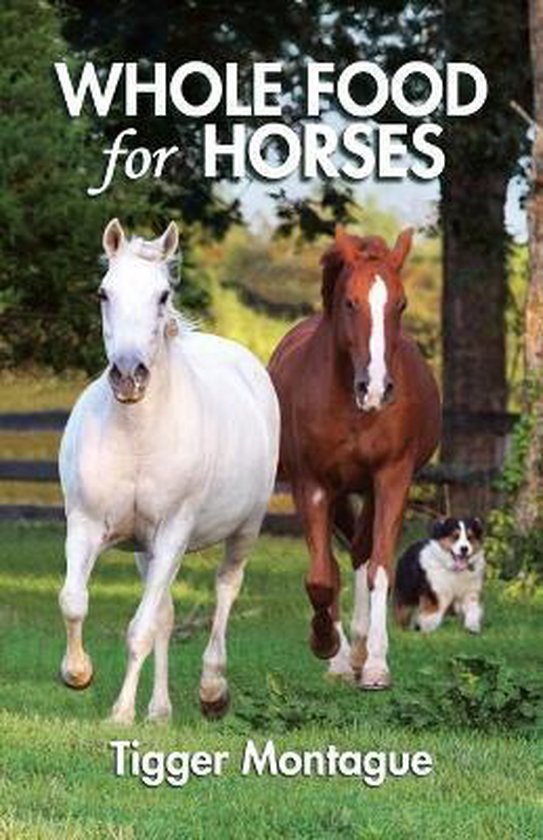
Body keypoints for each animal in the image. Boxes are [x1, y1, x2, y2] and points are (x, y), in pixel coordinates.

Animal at [58, 219, 280, 723]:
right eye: (103, 292)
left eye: (162, 295)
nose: (128, 375)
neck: (137, 437)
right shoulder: (85, 525)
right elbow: (75, 601)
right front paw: (78, 674)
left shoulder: (174, 532)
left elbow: (138, 628)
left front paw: (120, 713)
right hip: (146, 549)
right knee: (165, 614)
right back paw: (159, 711)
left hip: (244, 530)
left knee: (225, 591)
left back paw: (213, 691)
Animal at [268, 226, 441, 689]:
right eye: (350, 302)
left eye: (401, 303)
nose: (376, 388)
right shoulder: (313, 485)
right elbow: (321, 577)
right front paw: (326, 644)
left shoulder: (392, 477)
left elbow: (378, 566)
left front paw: (376, 664)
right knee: (337, 561)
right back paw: (343, 657)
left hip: (366, 488)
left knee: (362, 552)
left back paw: (362, 650)